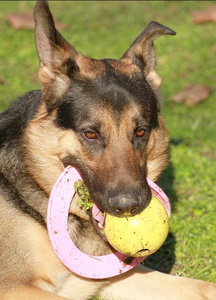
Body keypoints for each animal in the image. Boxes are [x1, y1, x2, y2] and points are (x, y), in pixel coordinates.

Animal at [0, 1, 216, 298]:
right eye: (90, 133)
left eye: (141, 132)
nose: (128, 208)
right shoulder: (14, 287)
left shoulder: (111, 279)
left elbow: (205, 287)